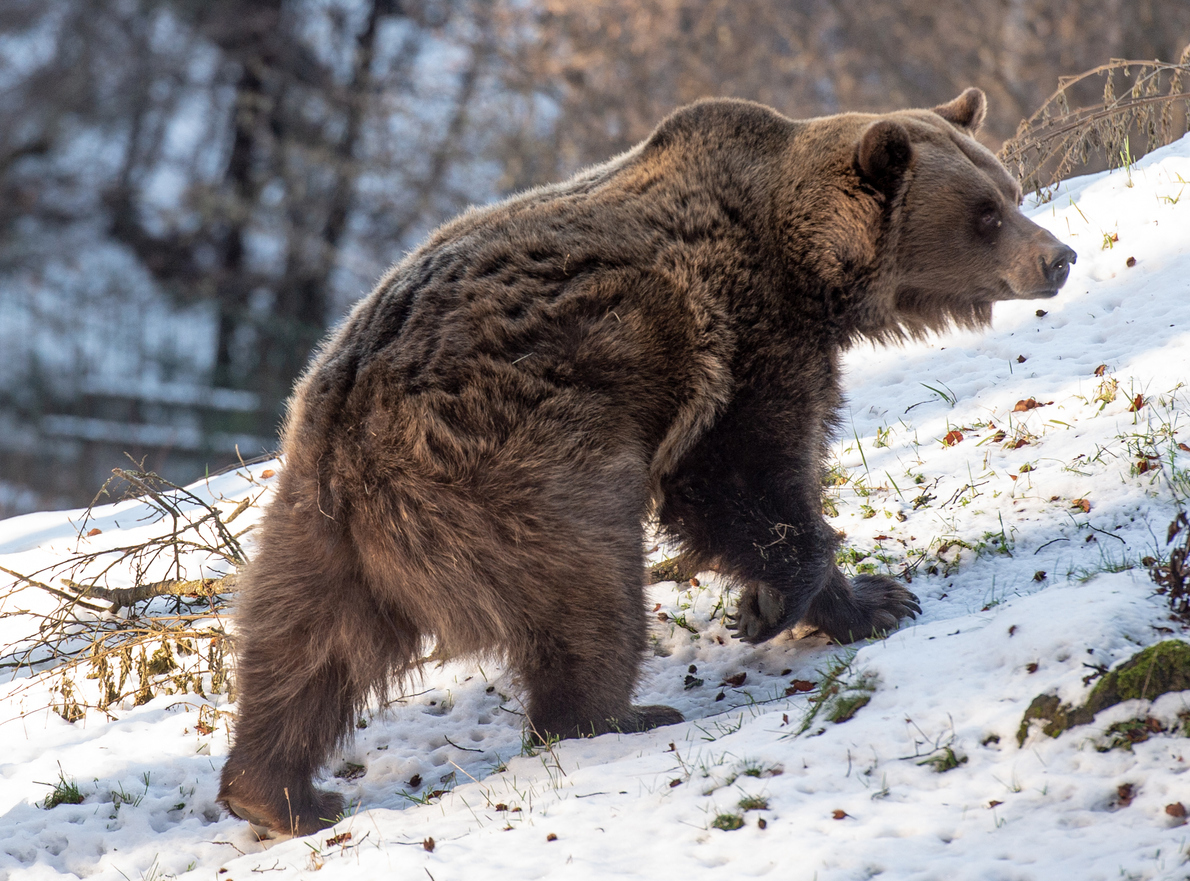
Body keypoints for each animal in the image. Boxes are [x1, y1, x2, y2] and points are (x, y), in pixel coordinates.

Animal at [216, 87, 1080, 833]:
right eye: (986, 213)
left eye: (1007, 188)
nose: (1060, 255)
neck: (808, 268)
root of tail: (352, 420)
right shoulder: (742, 345)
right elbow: (749, 480)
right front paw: (802, 602)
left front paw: (866, 597)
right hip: (514, 467)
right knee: (589, 588)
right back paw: (615, 713)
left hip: (316, 521)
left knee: (300, 645)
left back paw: (279, 793)